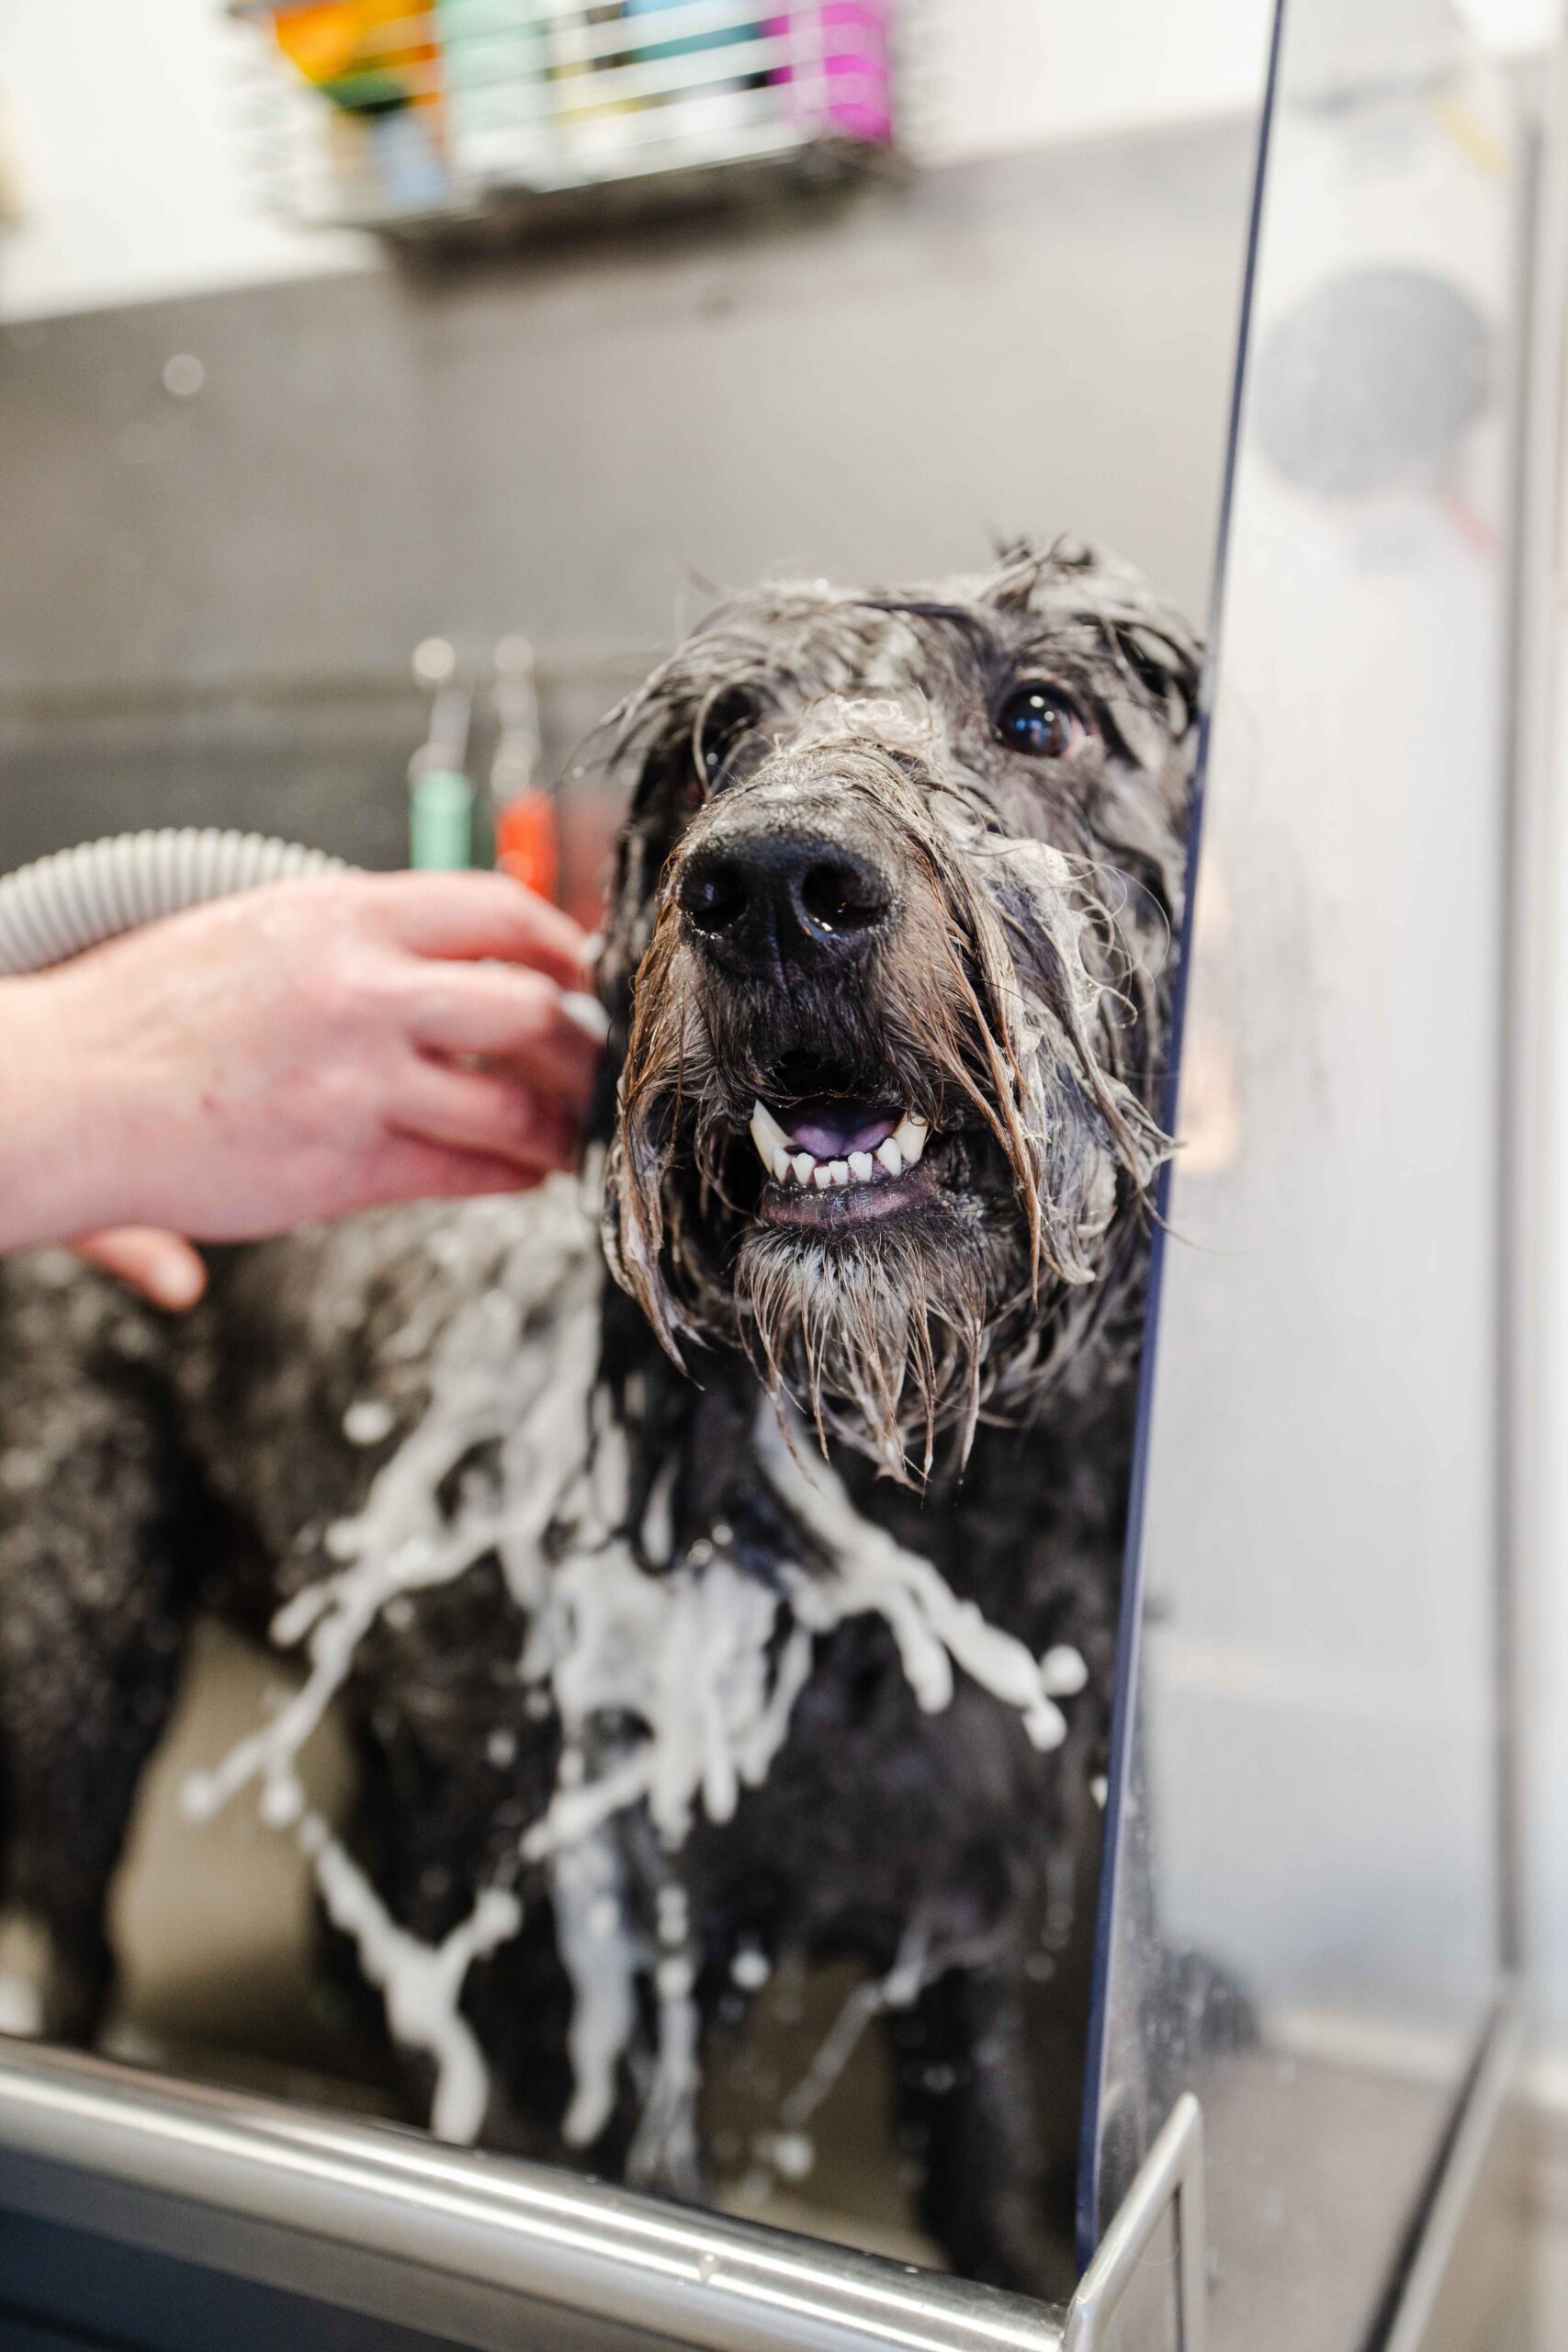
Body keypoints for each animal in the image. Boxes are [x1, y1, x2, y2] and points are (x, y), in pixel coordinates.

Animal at [0, 538, 1203, 2295]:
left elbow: (978, 2172)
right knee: (75, 1908)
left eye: (1041, 713)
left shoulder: (960, 1913)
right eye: (715, 742)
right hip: (82, 1643)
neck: (908, 1517)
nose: (771, 882)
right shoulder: (621, 1962)